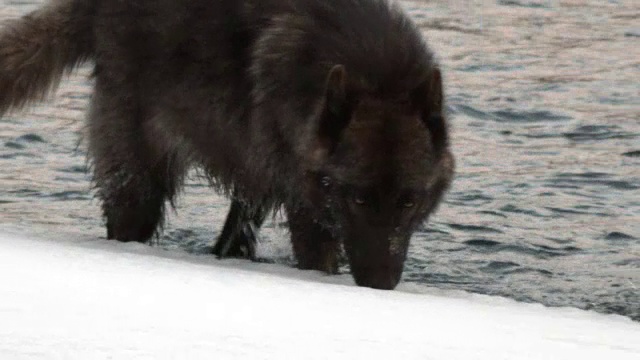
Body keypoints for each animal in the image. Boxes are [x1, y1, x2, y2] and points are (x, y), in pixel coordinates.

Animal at [2, 0, 458, 288]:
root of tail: (94, 6)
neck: (373, 71)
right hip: (140, 185)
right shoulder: (306, 208)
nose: (380, 285)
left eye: (409, 201)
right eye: (359, 199)